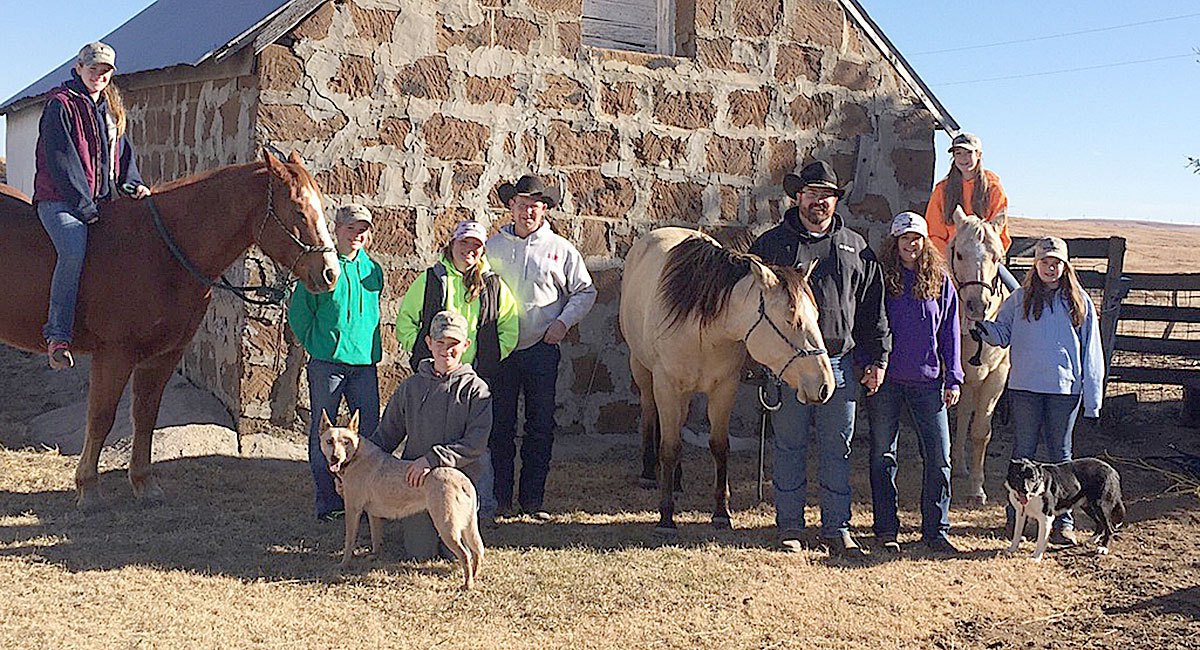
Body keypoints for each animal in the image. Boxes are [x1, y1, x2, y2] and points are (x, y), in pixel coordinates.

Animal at [0, 151, 340, 508]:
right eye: (299, 210)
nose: (330, 273)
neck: (161, 252)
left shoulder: (163, 356)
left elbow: (145, 416)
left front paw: (144, 484)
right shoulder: (114, 355)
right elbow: (101, 418)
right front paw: (89, 488)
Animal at [324, 414, 487, 594]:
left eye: (346, 442)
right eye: (329, 441)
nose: (335, 458)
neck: (355, 456)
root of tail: (463, 480)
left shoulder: (353, 511)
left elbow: (349, 542)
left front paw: (343, 564)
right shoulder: (373, 514)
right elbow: (376, 538)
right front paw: (374, 555)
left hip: (447, 528)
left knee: (466, 555)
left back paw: (467, 584)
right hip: (466, 526)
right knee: (477, 551)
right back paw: (475, 575)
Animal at [619, 229, 835, 534]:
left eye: (815, 316)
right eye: (791, 319)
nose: (824, 385)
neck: (704, 327)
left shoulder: (724, 388)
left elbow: (719, 446)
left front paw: (721, 512)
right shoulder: (667, 385)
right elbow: (669, 447)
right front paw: (666, 516)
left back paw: (676, 480)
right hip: (642, 370)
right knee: (650, 413)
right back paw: (650, 473)